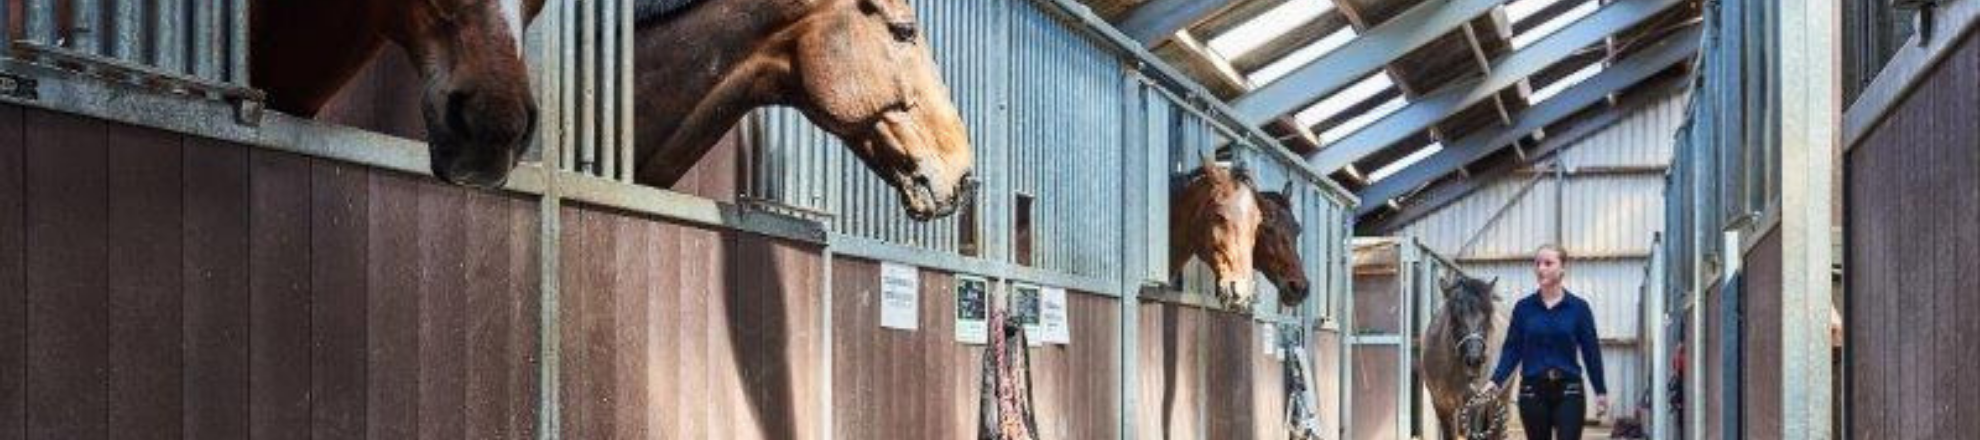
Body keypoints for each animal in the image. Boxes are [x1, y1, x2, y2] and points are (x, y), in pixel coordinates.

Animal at [1422, 275, 1512, 440]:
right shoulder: (1441, 405)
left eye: (1487, 317)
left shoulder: (1475, 405)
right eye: (1454, 317)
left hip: (1503, 394)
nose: (1474, 360)